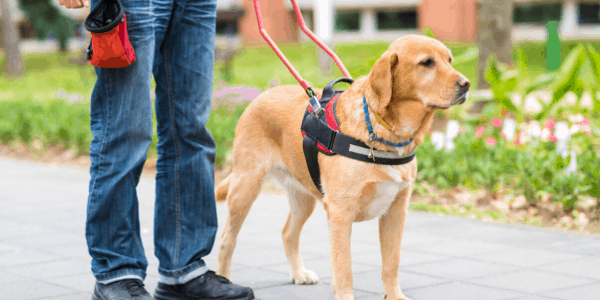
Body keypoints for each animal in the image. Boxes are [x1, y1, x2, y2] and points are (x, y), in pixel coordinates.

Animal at [214, 35, 468, 300]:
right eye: (426, 62)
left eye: (449, 60)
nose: (467, 84)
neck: (385, 131)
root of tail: (262, 94)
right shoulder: (340, 213)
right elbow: (344, 267)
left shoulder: (396, 212)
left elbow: (392, 262)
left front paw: (394, 295)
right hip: (246, 187)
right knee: (226, 238)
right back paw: (224, 278)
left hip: (304, 198)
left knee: (288, 233)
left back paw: (298, 273)